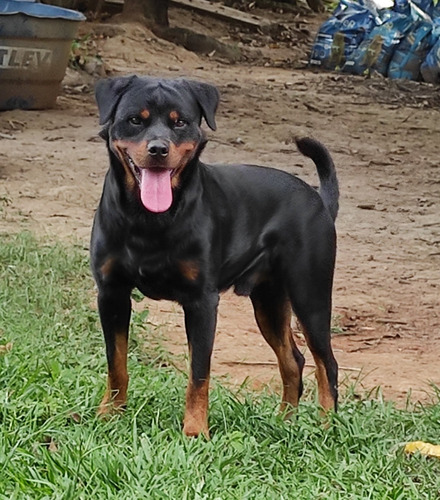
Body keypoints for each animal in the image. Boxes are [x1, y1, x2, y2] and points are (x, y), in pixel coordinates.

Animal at [92, 75, 340, 438]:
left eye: (180, 122)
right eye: (135, 120)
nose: (158, 149)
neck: (148, 219)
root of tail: (320, 200)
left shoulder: (202, 302)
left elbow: (199, 375)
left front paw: (195, 432)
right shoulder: (112, 293)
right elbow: (116, 364)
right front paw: (109, 415)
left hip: (310, 296)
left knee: (327, 364)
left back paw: (326, 427)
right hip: (269, 302)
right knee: (293, 360)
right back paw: (284, 421)